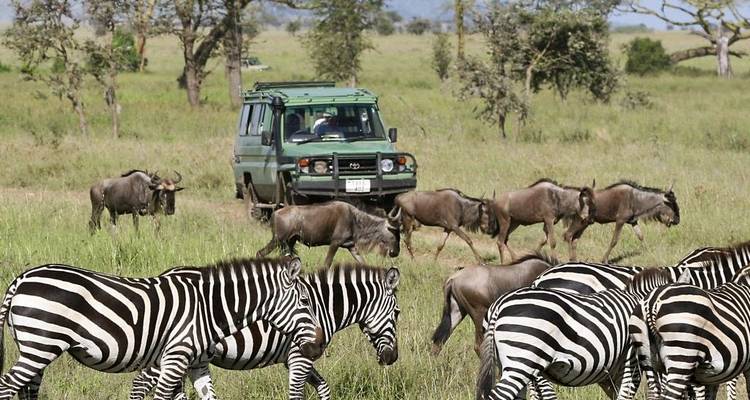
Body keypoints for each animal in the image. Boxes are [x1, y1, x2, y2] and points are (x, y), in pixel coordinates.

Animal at [0, 257, 325, 400]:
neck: (209, 308)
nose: (319, 346)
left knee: (26, 390)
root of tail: (22, 278)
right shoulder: (174, 357)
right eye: (306, 301)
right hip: (41, 345)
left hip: (35, 348)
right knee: (7, 386)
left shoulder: (196, 362)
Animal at [128, 263, 401, 400]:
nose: (392, 358)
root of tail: (165, 274)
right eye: (397, 313)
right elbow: (296, 395)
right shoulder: (300, 357)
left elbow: (323, 387)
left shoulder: (296, 358)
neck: (322, 306)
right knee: (139, 384)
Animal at [475, 268, 689, 400]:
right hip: (523, 360)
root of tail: (499, 305)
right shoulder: (631, 361)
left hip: (508, 362)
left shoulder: (615, 368)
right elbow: (627, 393)